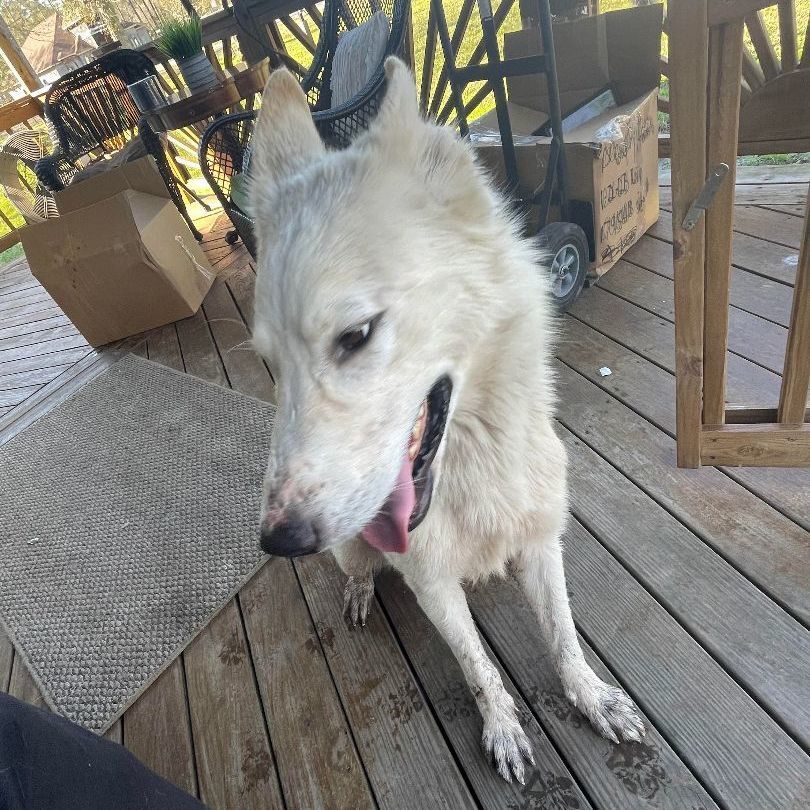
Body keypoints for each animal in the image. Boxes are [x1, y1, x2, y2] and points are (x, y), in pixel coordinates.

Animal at [249, 57, 645, 784]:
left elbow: (563, 637)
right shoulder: (432, 583)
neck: (477, 460)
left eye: (356, 335)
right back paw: (359, 591)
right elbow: (478, 667)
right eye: (270, 363)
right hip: (349, 543)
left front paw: (590, 696)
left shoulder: (542, 543)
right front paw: (504, 729)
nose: (279, 541)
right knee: (357, 568)